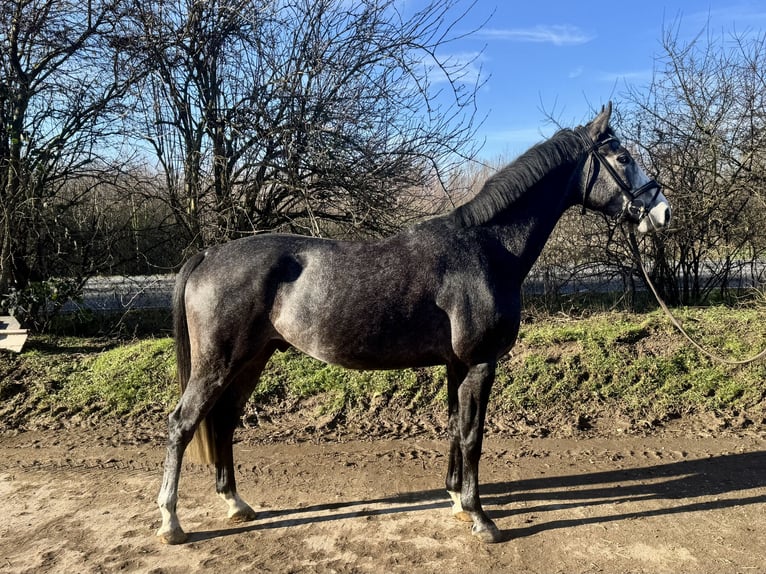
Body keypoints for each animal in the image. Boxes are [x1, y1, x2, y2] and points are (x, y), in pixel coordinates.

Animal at [154, 101, 672, 548]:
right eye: (623, 157)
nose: (662, 211)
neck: (486, 248)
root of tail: (208, 254)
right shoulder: (481, 363)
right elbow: (473, 436)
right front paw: (481, 517)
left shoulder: (456, 365)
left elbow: (455, 429)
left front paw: (456, 500)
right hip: (220, 361)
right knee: (182, 423)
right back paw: (171, 522)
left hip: (252, 359)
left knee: (223, 420)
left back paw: (235, 503)